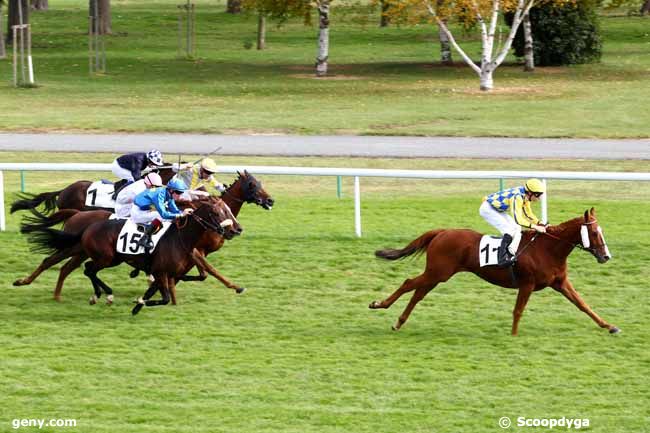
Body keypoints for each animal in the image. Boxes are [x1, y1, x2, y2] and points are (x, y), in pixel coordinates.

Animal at [370, 208, 616, 336]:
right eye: (595, 232)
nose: (606, 256)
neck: (547, 248)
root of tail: (442, 232)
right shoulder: (527, 284)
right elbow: (518, 311)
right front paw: (514, 335)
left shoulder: (561, 283)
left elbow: (583, 305)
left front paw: (609, 326)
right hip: (438, 272)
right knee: (408, 283)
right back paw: (379, 304)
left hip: (437, 275)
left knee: (417, 293)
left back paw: (399, 322)